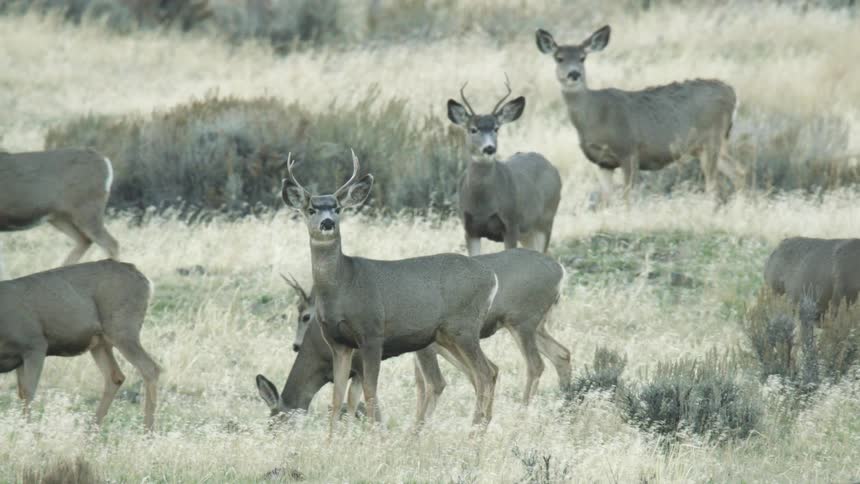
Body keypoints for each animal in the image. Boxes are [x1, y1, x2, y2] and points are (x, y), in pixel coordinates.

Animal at [0, 260, 161, 431]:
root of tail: (145, 280)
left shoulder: (35, 345)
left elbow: (29, 392)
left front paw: (29, 431)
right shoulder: (19, 358)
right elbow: (22, 393)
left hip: (122, 329)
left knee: (150, 368)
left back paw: (148, 430)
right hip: (100, 342)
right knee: (115, 376)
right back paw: (91, 429)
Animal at [268, 247, 570, 423]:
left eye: (305, 316)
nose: (295, 345)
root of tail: (560, 269)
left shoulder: (423, 347)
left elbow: (432, 384)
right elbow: (421, 386)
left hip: (521, 322)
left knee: (533, 364)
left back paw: (520, 415)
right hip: (535, 326)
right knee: (561, 354)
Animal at [280, 151, 500, 435]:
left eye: (338, 208)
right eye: (311, 209)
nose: (327, 222)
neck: (343, 285)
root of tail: (491, 276)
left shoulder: (372, 333)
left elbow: (370, 392)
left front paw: (373, 437)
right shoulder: (338, 343)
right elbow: (336, 398)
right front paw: (332, 440)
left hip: (464, 328)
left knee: (484, 374)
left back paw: (473, 435)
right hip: (447, 335)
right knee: (488, 371)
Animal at [446, 77, 562, 256]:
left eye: (496, 128)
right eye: (473, 129)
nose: (489, 148)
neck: (482, 207)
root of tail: (552, 167)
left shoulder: (511, 223)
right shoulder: (469, 228)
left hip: (546, 219)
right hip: (528, 232)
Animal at [535, 26, 745, 204]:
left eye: (582, 57)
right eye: (559, 58)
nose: (574, 74)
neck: (596, 116)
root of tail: (731, 91)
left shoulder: (628, 149)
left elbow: (627, 198)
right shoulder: (603, 162)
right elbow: (606, 201)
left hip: (712, 137)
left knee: (713, 186)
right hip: (707, 145)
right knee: (738, 171)